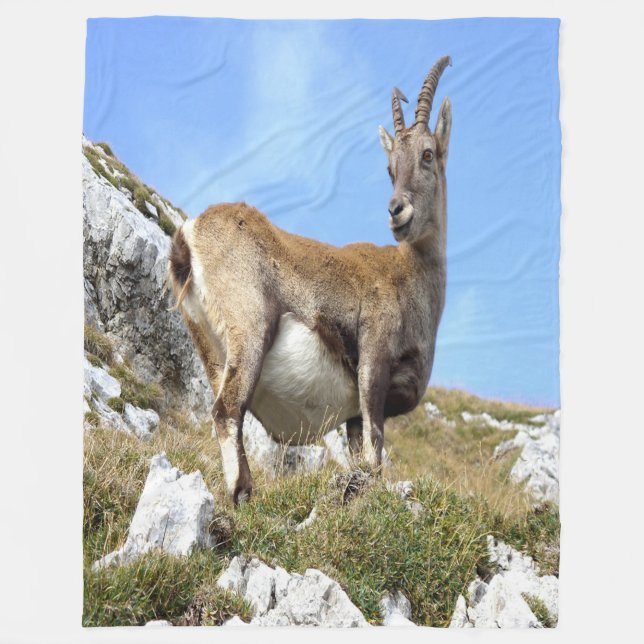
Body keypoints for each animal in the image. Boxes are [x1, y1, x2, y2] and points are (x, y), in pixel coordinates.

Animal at [169, 56, 452, 504]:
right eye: (390, 167)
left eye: (427, 154)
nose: (397, 210)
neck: (410, 276)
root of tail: (188, 236)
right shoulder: (373, 360)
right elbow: (375, 448)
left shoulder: (353, 415)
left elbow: (360, 452)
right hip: (250, 327)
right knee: (227, 409)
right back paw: (242, 493)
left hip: (209, 346)